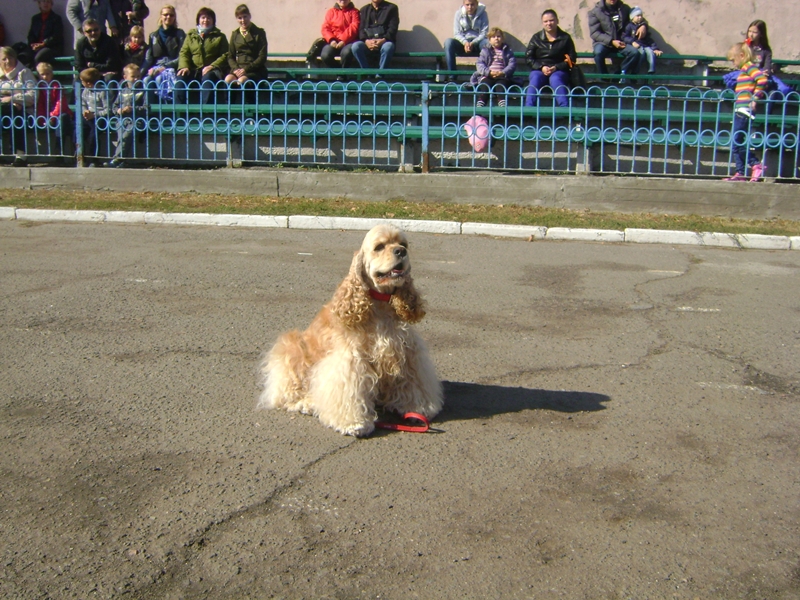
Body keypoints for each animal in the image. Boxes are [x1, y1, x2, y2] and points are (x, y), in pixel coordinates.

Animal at [257, 224, 443, 437]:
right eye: (379, 247)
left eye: (403, 244)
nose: (401, 252)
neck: (380, 304)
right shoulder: (350, 359)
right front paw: (355, 423)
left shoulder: (408, 351)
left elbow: (413, 383)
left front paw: (419, 408)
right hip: (292, 349)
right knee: (287, 395)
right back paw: (307, 403)